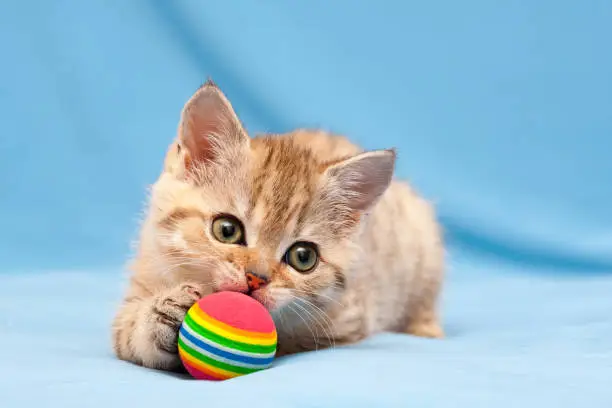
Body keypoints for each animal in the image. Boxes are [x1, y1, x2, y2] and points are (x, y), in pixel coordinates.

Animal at [111, 80, 444, 372]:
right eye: (227, 230)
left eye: (303, 257)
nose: (256, 278)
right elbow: (126, 332)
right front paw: (160, 315)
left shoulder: (347, 321)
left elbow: (290, 340)